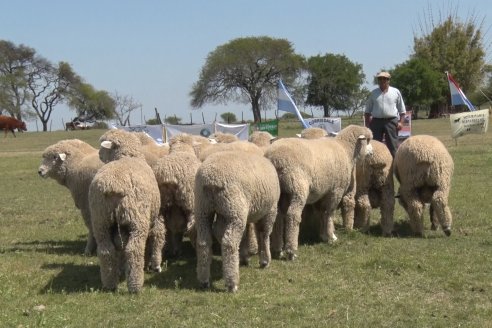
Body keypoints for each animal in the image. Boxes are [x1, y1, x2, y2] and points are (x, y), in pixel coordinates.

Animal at [89, 129, 164, 294]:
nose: (99, 154)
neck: (126, 156)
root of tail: (113, 184)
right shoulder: (152, 217)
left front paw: (122, 269)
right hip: (137, 219)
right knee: (134, 249)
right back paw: (135, 285)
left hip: (100, 220)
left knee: (106, 250)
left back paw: (110, 284)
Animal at [196, 151, 280, 292]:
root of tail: (211, 180)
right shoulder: (270, 210)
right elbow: (264, 234)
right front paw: (265, 260)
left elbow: (245, 233)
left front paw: (244, 256)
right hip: (234, 210)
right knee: (229, 243)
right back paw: (232, 283)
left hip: (203, 209)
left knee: (204, 243)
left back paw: (204, 280)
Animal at [266, 124, 372, 260]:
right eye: (368, 140)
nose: (372, 152)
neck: (346, 149)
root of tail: (274, 158)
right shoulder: (336, 190)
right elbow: (329, 212)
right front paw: (331, 237)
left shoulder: (323, 192)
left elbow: (322, 212)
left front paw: (323, 235)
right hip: (297, 186)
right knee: (292, 215)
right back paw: (291, 251)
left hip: (281, 193)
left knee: (278, 217)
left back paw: (278, 250)